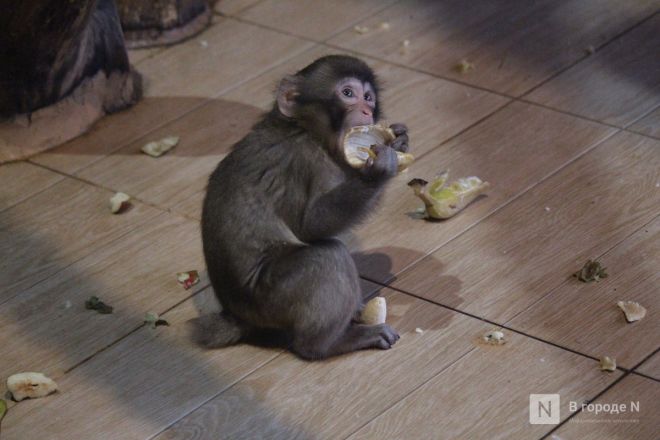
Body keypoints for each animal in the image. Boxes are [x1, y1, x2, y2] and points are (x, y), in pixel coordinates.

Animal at [199, 55, 410, 360]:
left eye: (369, 97)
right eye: (348, 93)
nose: (367, 111)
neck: (301, 127)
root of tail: (237, 315)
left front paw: (401, 140)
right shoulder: (304, 160)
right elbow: (310, 226)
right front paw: (376, 172)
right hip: (272, 298)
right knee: (327, 257)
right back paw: (327, 343)